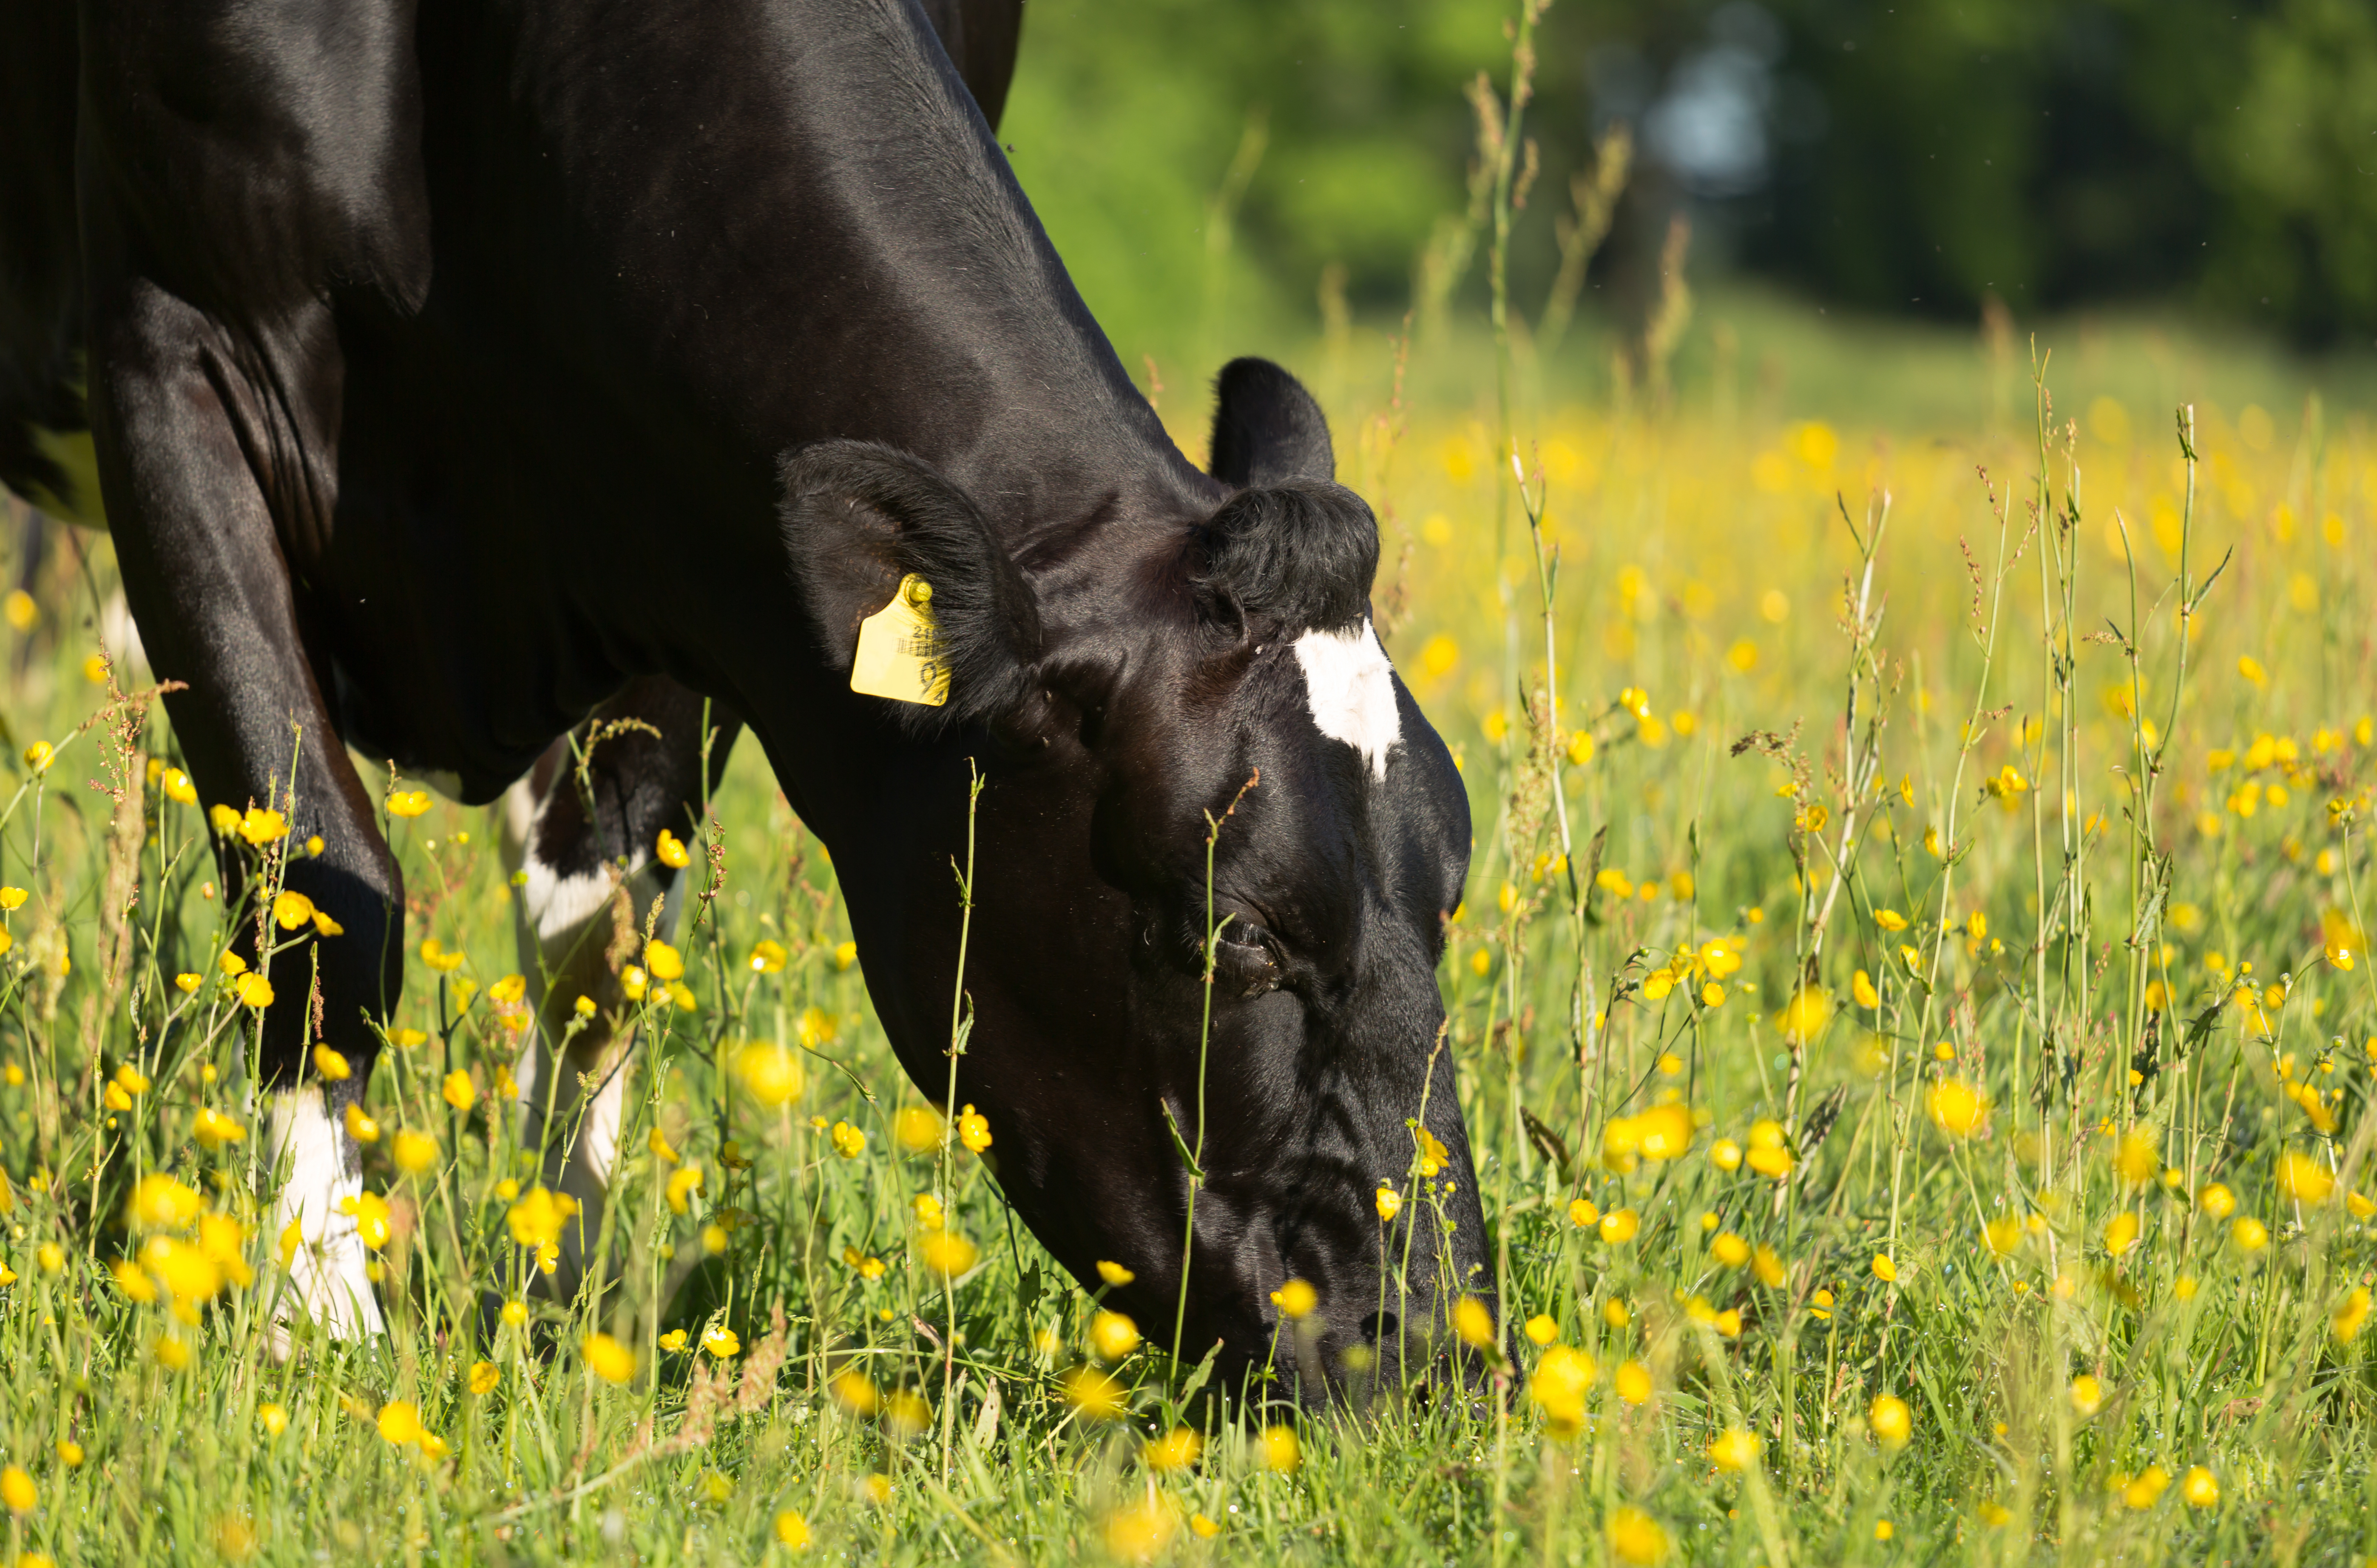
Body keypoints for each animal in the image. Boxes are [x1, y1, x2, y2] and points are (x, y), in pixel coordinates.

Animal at [0, 0, 1489, 1396]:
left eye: (1450, 897)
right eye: (1236, 936)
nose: (1434, 1350)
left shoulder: (686, 529)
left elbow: (599, 941)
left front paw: (556, 1303)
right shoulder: (168, 357)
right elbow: (320, 887)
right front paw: (320, 1324)